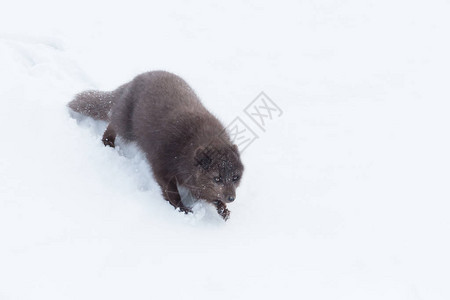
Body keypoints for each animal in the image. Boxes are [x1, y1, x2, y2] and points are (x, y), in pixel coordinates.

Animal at [67, 71, 243, 220]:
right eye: (217, 178)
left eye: (235, 177)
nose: (231, 197)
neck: (186, 148)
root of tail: (133, 81)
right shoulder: (161, 165)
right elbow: (171, 190)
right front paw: (182, 209)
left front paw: (224, 210)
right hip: (127, 126)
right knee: (112, 123)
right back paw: (108, 143)